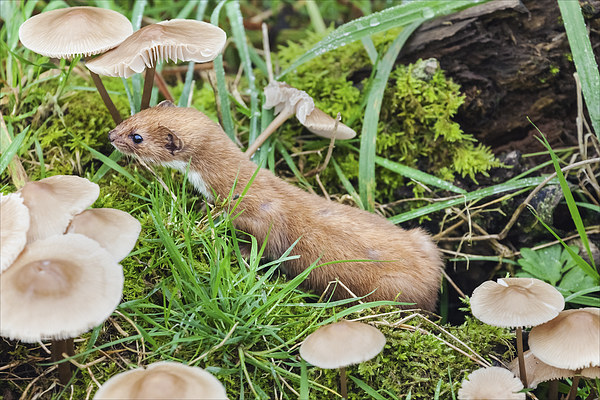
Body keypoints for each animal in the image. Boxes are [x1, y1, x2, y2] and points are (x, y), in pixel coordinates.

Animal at [109, 101, 446, 312]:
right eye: (134, 115)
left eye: (137, 137)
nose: (111, 135)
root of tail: (433, 282)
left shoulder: (259, 214)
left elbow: (264, 243)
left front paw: (238, 251)